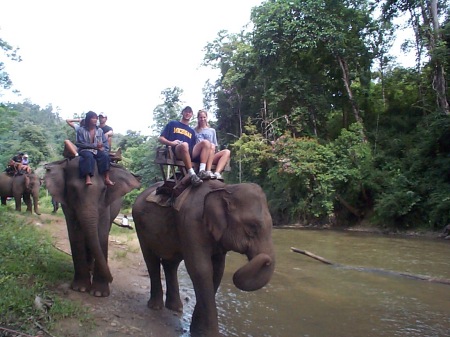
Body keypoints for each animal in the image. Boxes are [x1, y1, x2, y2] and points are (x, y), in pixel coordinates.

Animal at [45, 156, 141, 296]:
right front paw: (80, 288)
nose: (111, 279)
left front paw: (99, 293)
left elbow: (101, 234)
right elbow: (75, 235)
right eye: (72, 189)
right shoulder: (67, 205)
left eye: (104, 190)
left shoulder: (106, 204)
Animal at [132, 180, 276, 336]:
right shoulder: (190, 223)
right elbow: (200, 269)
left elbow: (218, 270)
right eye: (252, 227)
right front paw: (209, 333)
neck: (225, 189)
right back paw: (155, 307)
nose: (267, 260)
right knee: (151, 260)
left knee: (171, 263)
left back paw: (175, 308)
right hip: (140, 225)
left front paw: (197, 330)